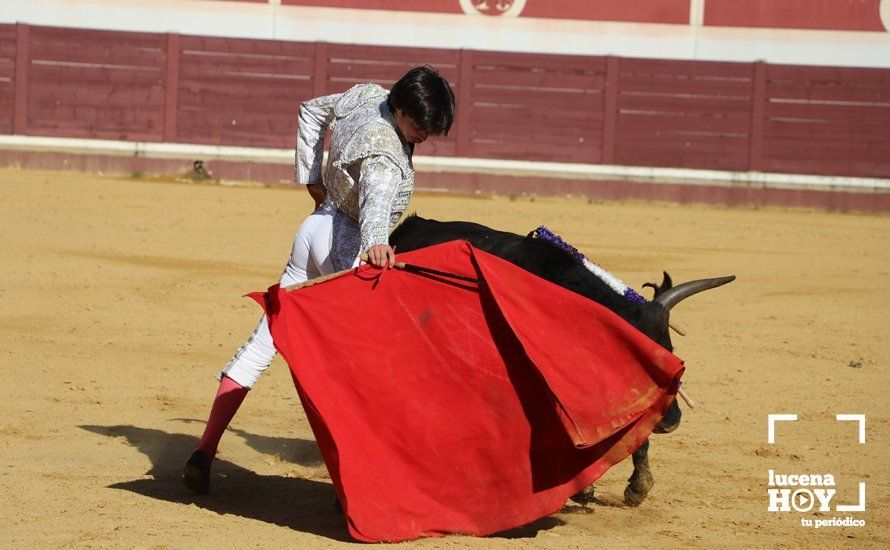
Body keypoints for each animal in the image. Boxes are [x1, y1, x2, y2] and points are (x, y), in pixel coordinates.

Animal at [390, 213, 736, 506]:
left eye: (672, 352)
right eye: (633, 356)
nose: (671, 421)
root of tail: (413, 225)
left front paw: (637, 487)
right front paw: (581, 489)